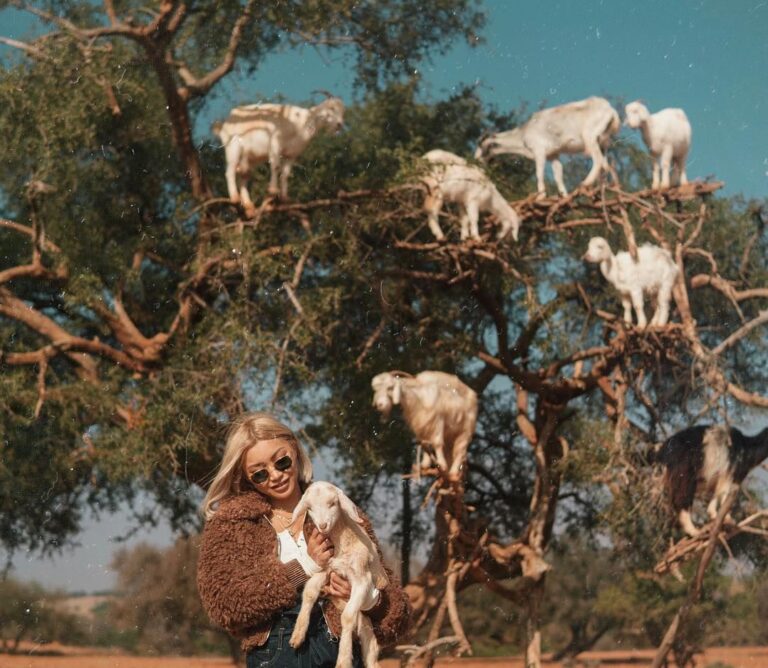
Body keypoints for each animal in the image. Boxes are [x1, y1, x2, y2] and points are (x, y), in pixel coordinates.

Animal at [213, 94, 345, 214]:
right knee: (230, 171)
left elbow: (286, 174)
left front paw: (285, 198)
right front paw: (272, 191)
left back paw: (249, 207)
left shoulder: (291, 154)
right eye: (331, 108)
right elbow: (275, 167)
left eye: (342, 112)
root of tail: (227, 122)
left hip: (251, 158)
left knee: (244, 177)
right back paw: (235, 198)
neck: (301, 122)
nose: (339, 124)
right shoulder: (275, 145)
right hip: (233, 147)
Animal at [289, 482, 389, 668]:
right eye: (309, 507)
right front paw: (298, 634)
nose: (322, 526)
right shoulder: (327, 569)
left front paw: (343, 660)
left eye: (333, 503)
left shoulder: (362, 580)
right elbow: (310, 591)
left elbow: (347, 617)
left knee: (371, 653)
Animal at [474, 96, 620, 199]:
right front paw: (564, 197)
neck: (523, 134)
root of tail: (611, 111)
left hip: (589, 138)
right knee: (606, 165)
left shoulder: (539, 150)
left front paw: (541, 196)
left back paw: (585, 183)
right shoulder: (553, 155)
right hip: (603, 143)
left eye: (481, 147)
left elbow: (539, 173)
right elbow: (558, 175)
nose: (475, 160)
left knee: (598, 160)